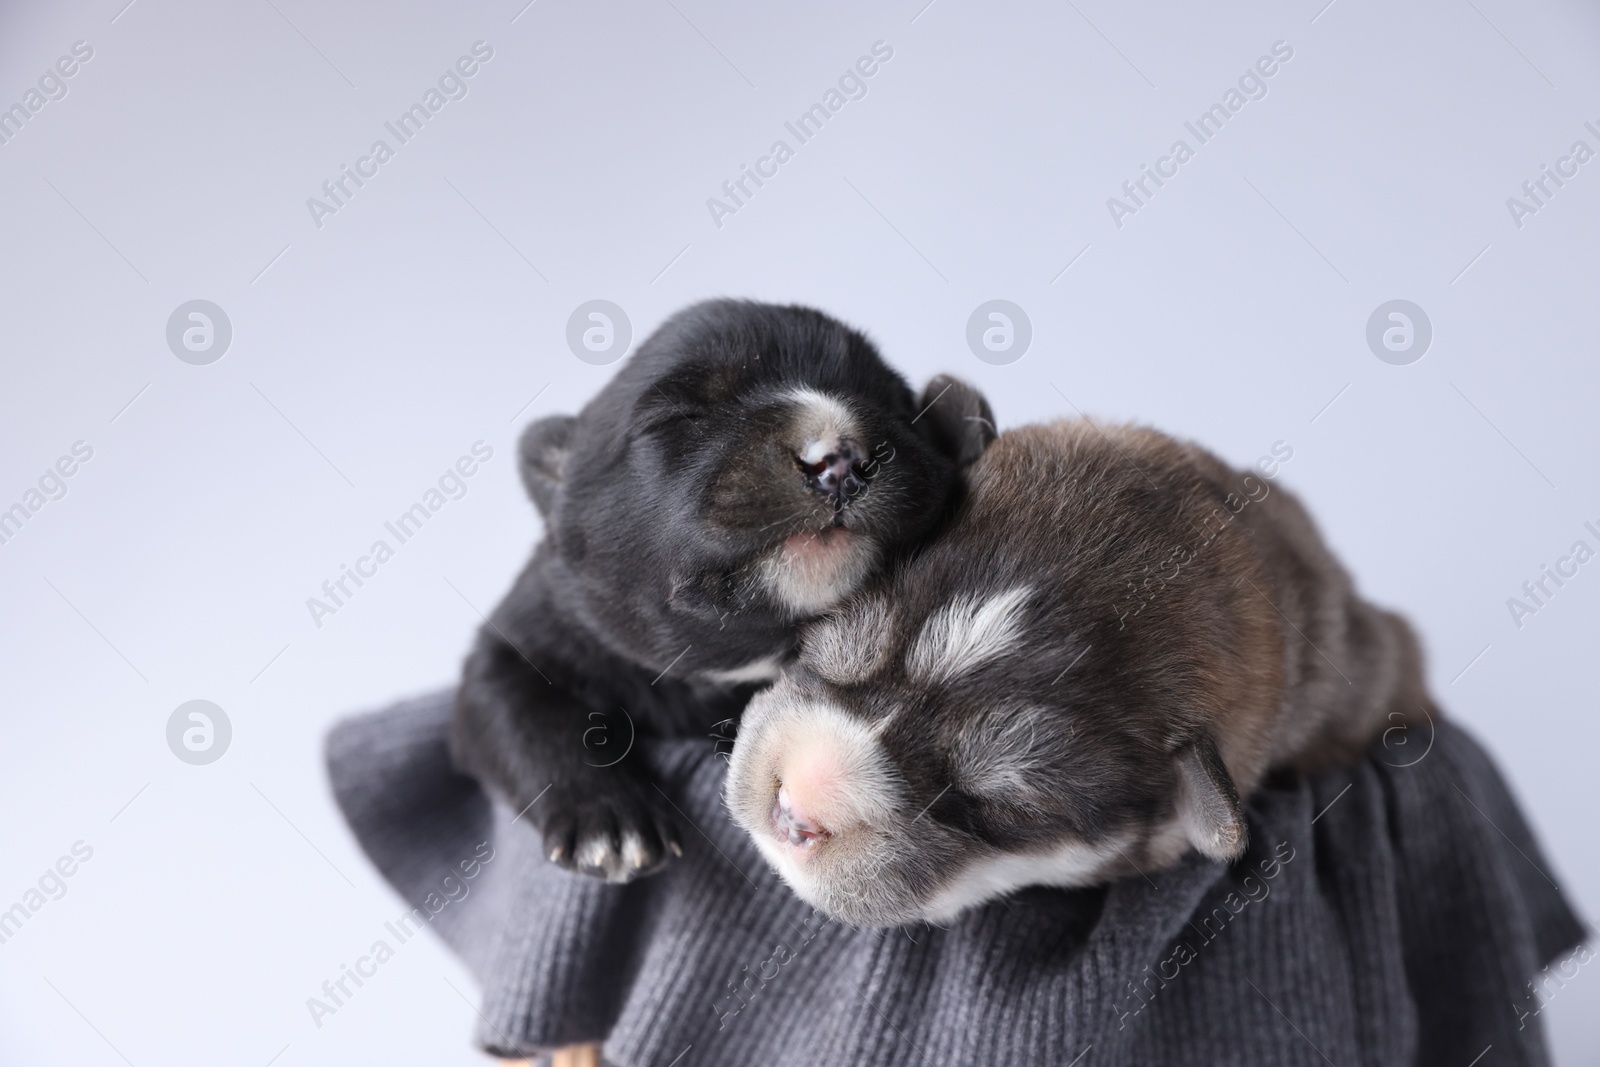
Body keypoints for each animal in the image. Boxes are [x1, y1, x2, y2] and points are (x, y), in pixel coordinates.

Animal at [451, 299, 992, 883]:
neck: (744, 658)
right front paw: (609, 822)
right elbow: (526, 716)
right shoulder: (519, 642)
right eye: (678, 417)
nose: (840, 460)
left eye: (896, 405)